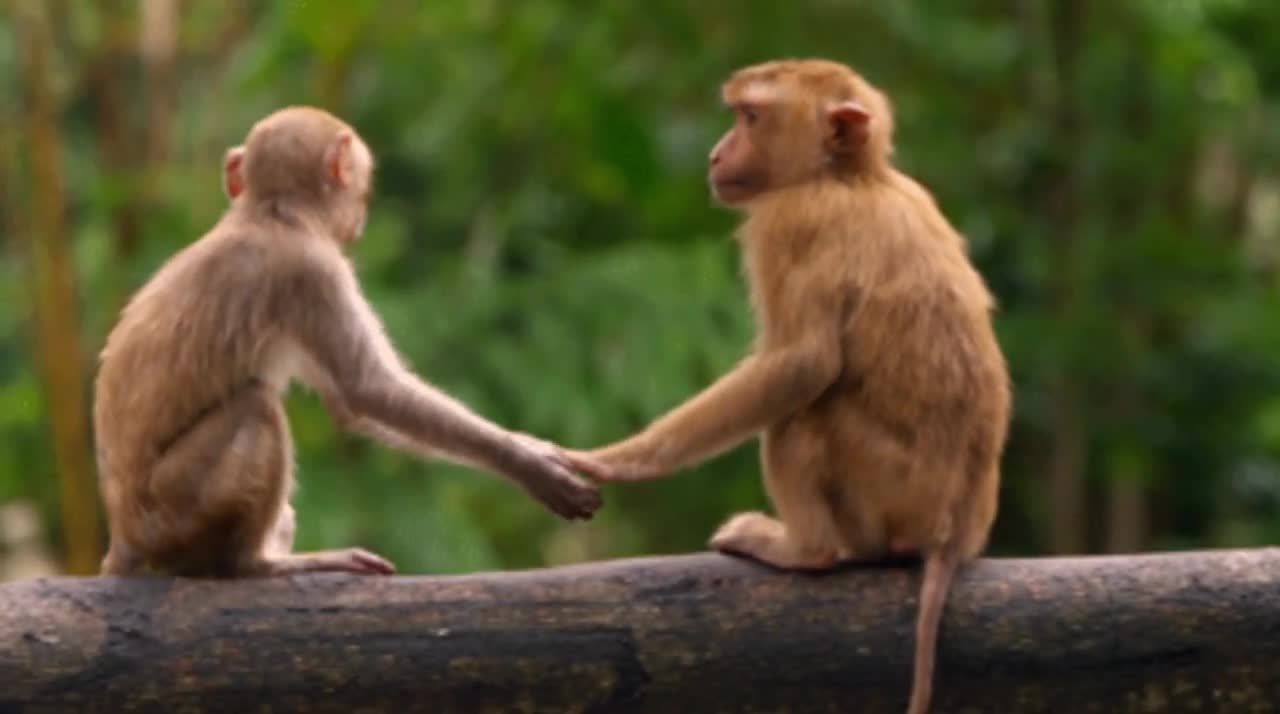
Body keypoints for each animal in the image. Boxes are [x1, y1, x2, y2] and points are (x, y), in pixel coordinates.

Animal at [94, 105, 603, 579]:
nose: (362, 209)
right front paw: (525, 461)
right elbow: (366, 389)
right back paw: (256, 563)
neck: (270, 213)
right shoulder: (315, 273)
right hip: (174, 515)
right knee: (257, 406)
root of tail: (124, 537)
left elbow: (349, 398)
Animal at [565, 60, 1011, 714]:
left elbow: (804, 364)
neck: (853, 177)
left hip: (883, 500)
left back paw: (805, 549)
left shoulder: (790, 221)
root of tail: (952, 533)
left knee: (800, 418)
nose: (716, 153)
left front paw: (625, 459)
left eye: (750, 117)